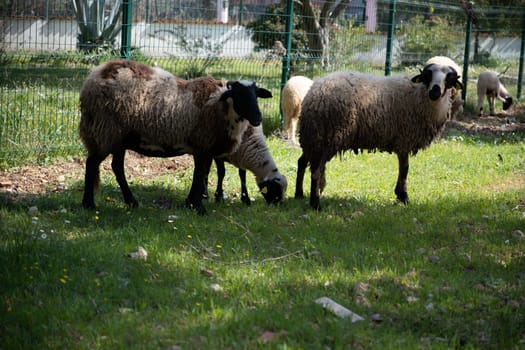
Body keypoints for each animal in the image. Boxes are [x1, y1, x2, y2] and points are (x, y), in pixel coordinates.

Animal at [80, 58, 274, 215]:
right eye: (239, 94)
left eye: (256, 95)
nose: (258, 118)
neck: (221, 107)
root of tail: (94, 76)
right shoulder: (202, 145)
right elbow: (200, 174)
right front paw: (199, 207)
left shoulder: (205, 149)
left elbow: (201, 174)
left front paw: (191, 203)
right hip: (106, 131)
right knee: (92, 164)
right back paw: (89, 204)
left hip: (118, 138)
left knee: (116, 167)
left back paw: (131, 202)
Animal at [294, 63, 462, 209]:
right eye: (427, 76)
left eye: (449, 79)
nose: (435, 92)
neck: (419, 95)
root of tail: (314, 94)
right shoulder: (404, 139)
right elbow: (405, 169)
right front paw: (404, 197)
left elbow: (403, 169)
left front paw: (400, 195)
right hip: (328, 137)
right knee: (316, 170)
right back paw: (315, 204)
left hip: (313, 138)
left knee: (302, 162)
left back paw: (299, 194)